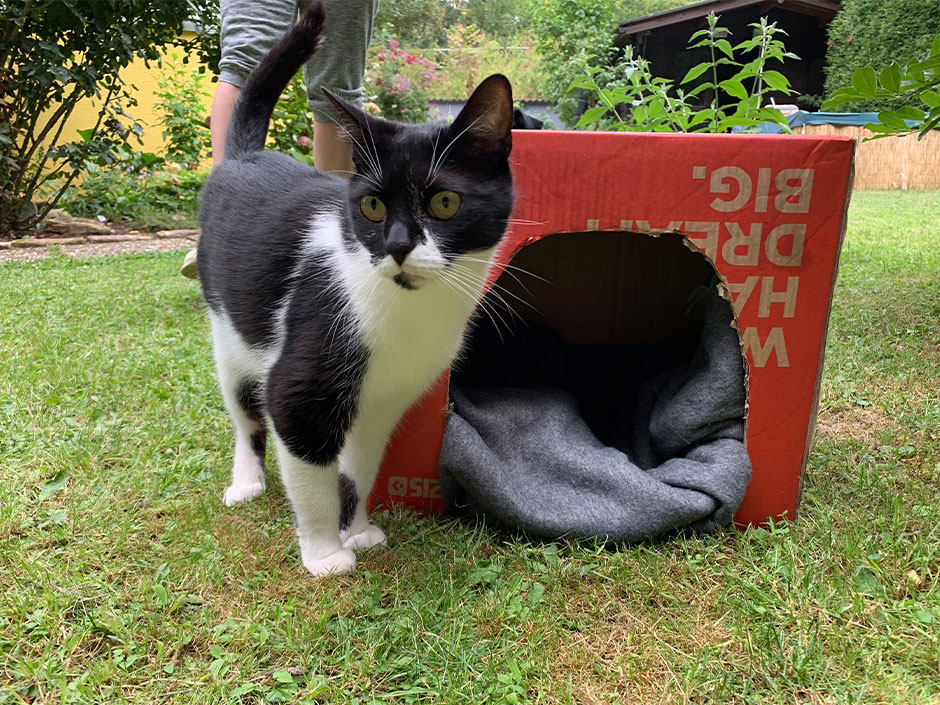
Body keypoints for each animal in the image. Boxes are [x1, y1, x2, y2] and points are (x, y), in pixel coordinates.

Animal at [197, 1, 516, 576]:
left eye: (445, 203)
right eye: (370, 205)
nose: (397, 245)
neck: (409, 314)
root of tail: (245, 156)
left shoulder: (384, 402)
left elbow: (360, 467)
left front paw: (360, 529)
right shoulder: (301, 385)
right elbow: (310, 469)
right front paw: (326, 553)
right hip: (226, 327)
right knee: (244, 408)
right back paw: (247, 480)